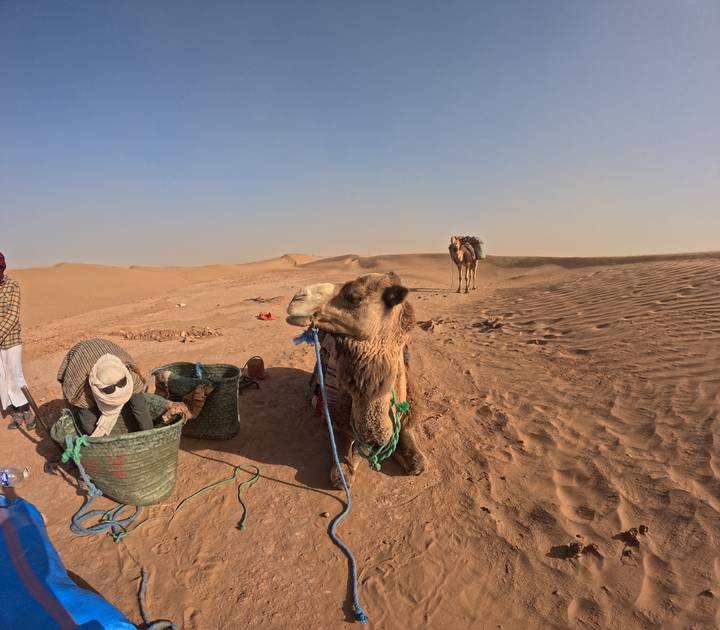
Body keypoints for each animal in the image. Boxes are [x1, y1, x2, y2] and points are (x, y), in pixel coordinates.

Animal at [287, 272, 427, 488]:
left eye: (355, 297)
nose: (297, 298)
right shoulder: (338, 417)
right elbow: (343, 465)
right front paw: (350, 463)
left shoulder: (406, 415)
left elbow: (418, 463)